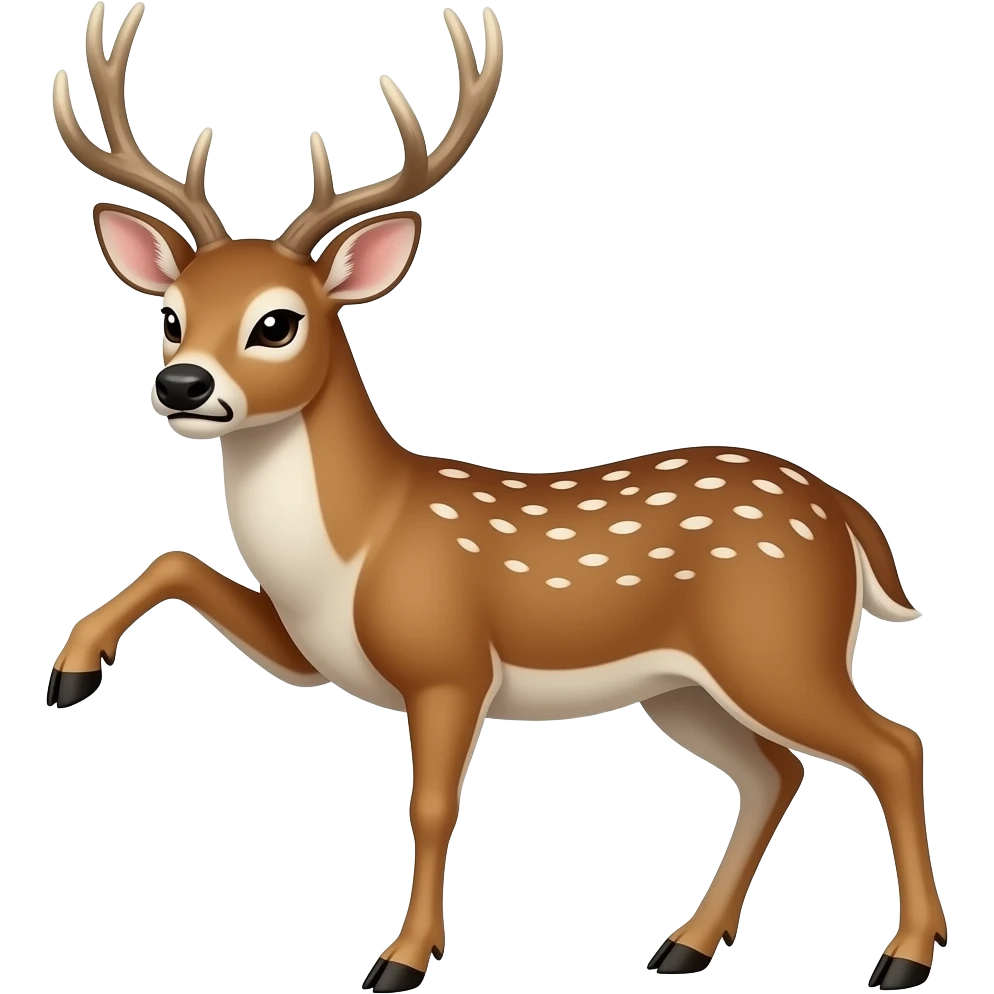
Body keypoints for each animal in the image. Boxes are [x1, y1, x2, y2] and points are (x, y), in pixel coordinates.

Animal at [49, 4, 946, 991]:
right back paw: (686, 944)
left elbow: (432, 806)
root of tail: (843, 512)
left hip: (776, 643)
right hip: (684, 686)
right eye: (170, 315)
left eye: (277, 322)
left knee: (894, 746)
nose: (181, 385)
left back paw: (904, 957)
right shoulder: (309, 649)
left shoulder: (449, 661)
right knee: (775, 771)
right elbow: (177, 560)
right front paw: (73, 673)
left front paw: (402, 960)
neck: (357, 545)